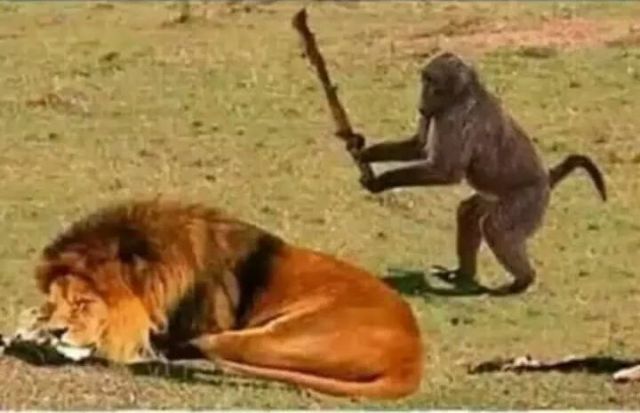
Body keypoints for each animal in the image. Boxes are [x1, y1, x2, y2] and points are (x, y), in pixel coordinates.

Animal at [344, 52, 607, 295]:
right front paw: (361, 150)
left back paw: (523, 281)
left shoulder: (456, 116)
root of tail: (547, 178)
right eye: (424, 79)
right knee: (468, 213)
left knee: (496, 228)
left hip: (527, 200)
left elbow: (446, 171)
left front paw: (379, 182)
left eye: (430, 81)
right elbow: (418, 146)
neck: (465, 92)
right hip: (494, 198)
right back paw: (463, 274)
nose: (422, 103)